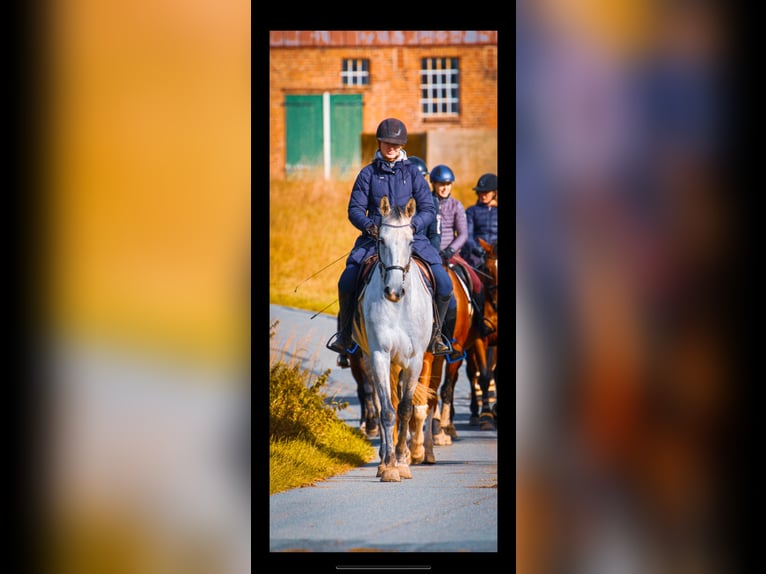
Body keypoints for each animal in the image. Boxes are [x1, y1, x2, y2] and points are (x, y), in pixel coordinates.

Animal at [352, 197, 436, 482]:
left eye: (410, 241)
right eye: (381, 240)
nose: (394, 291)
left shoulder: (415, 360)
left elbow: (406, 409)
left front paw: (401, 462)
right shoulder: (380, 354)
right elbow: (388, 411)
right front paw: (389, 466)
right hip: (373, 360)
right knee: (381, 404)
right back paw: (382, 460)